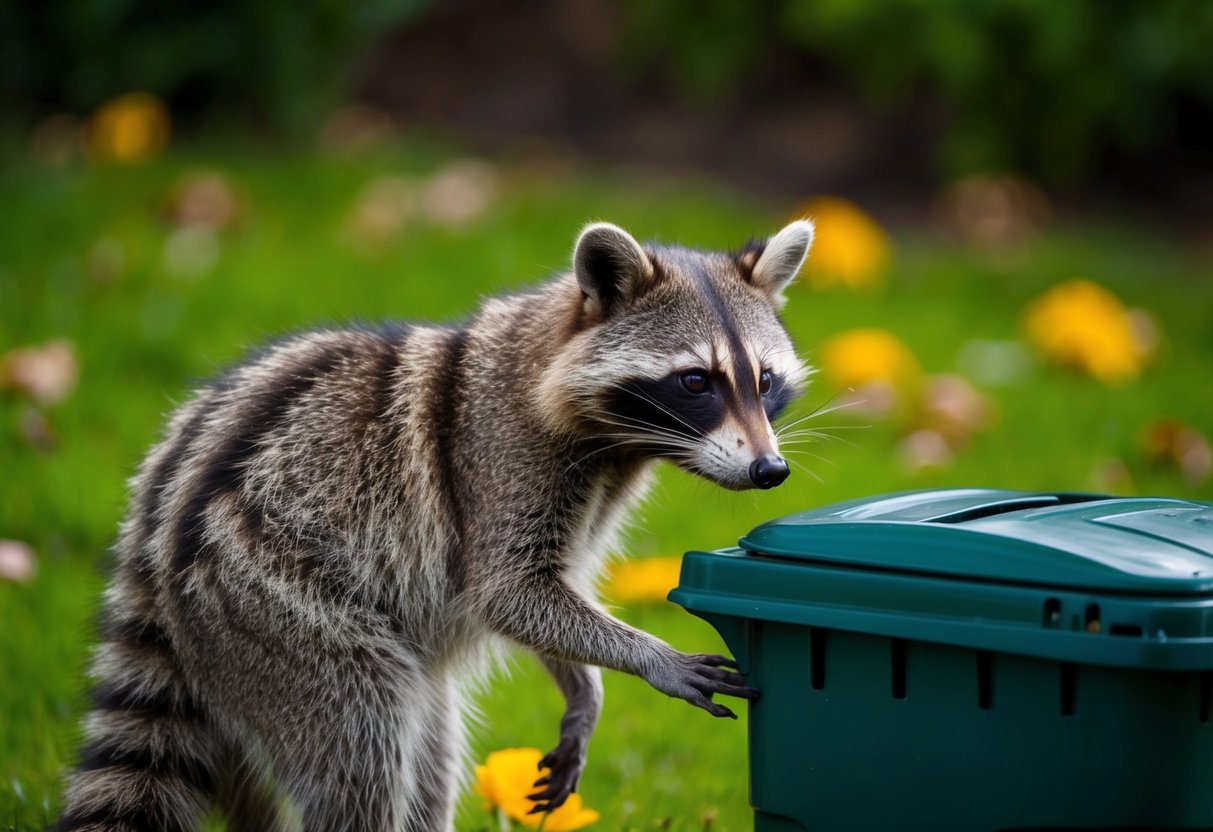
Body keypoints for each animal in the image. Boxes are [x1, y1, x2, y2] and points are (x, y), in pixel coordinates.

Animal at [56, 219, 814, 831]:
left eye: (764, 380)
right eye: (696, 382)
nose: (769, 470)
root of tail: (152, 550)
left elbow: (551, 586)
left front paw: (583, 688)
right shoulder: (504, 460)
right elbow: (509, 591)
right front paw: (646, 655)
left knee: (425, 759)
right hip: (276, 612)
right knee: (365, 746)